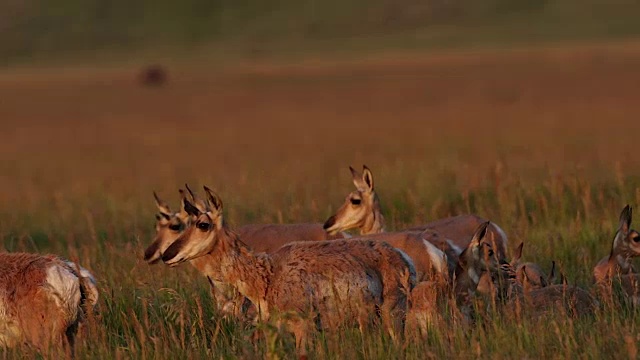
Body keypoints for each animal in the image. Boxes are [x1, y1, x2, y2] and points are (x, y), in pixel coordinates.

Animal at [161, 187, 416, 356]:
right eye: (184, 224)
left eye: (203, 225)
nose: (166, 255)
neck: (268, 274)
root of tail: (402, 257)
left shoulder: (304, 329)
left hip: (392, 315)